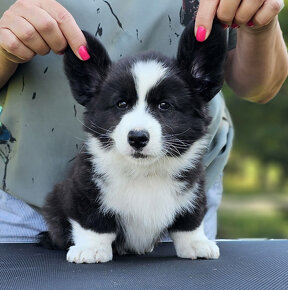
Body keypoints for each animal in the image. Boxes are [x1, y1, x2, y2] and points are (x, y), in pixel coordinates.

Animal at [39, 20, 227, 264]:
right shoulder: (83, 189)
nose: (137, 137)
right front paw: (90, 248)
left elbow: (190, 221)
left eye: (165, 105)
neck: (143, 172)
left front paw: (196, 244)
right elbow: (92, 222)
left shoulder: (194, 188)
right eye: (121, 104)